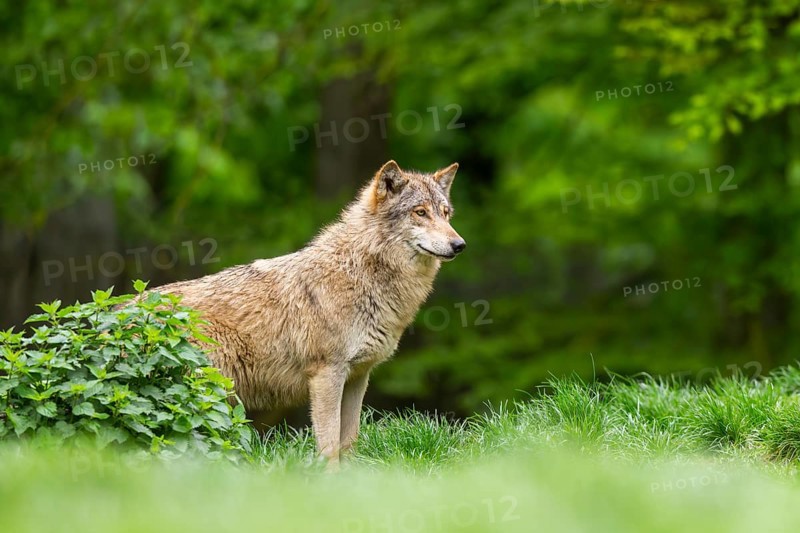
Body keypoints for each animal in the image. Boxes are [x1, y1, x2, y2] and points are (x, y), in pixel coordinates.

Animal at [155, 160, 466, 465]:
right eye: (420, 212)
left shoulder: (358, 377)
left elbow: (349, 440)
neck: (361, 273)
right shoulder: (327, 374)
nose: (459, 245)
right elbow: (329, 445)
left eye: (446, 213)